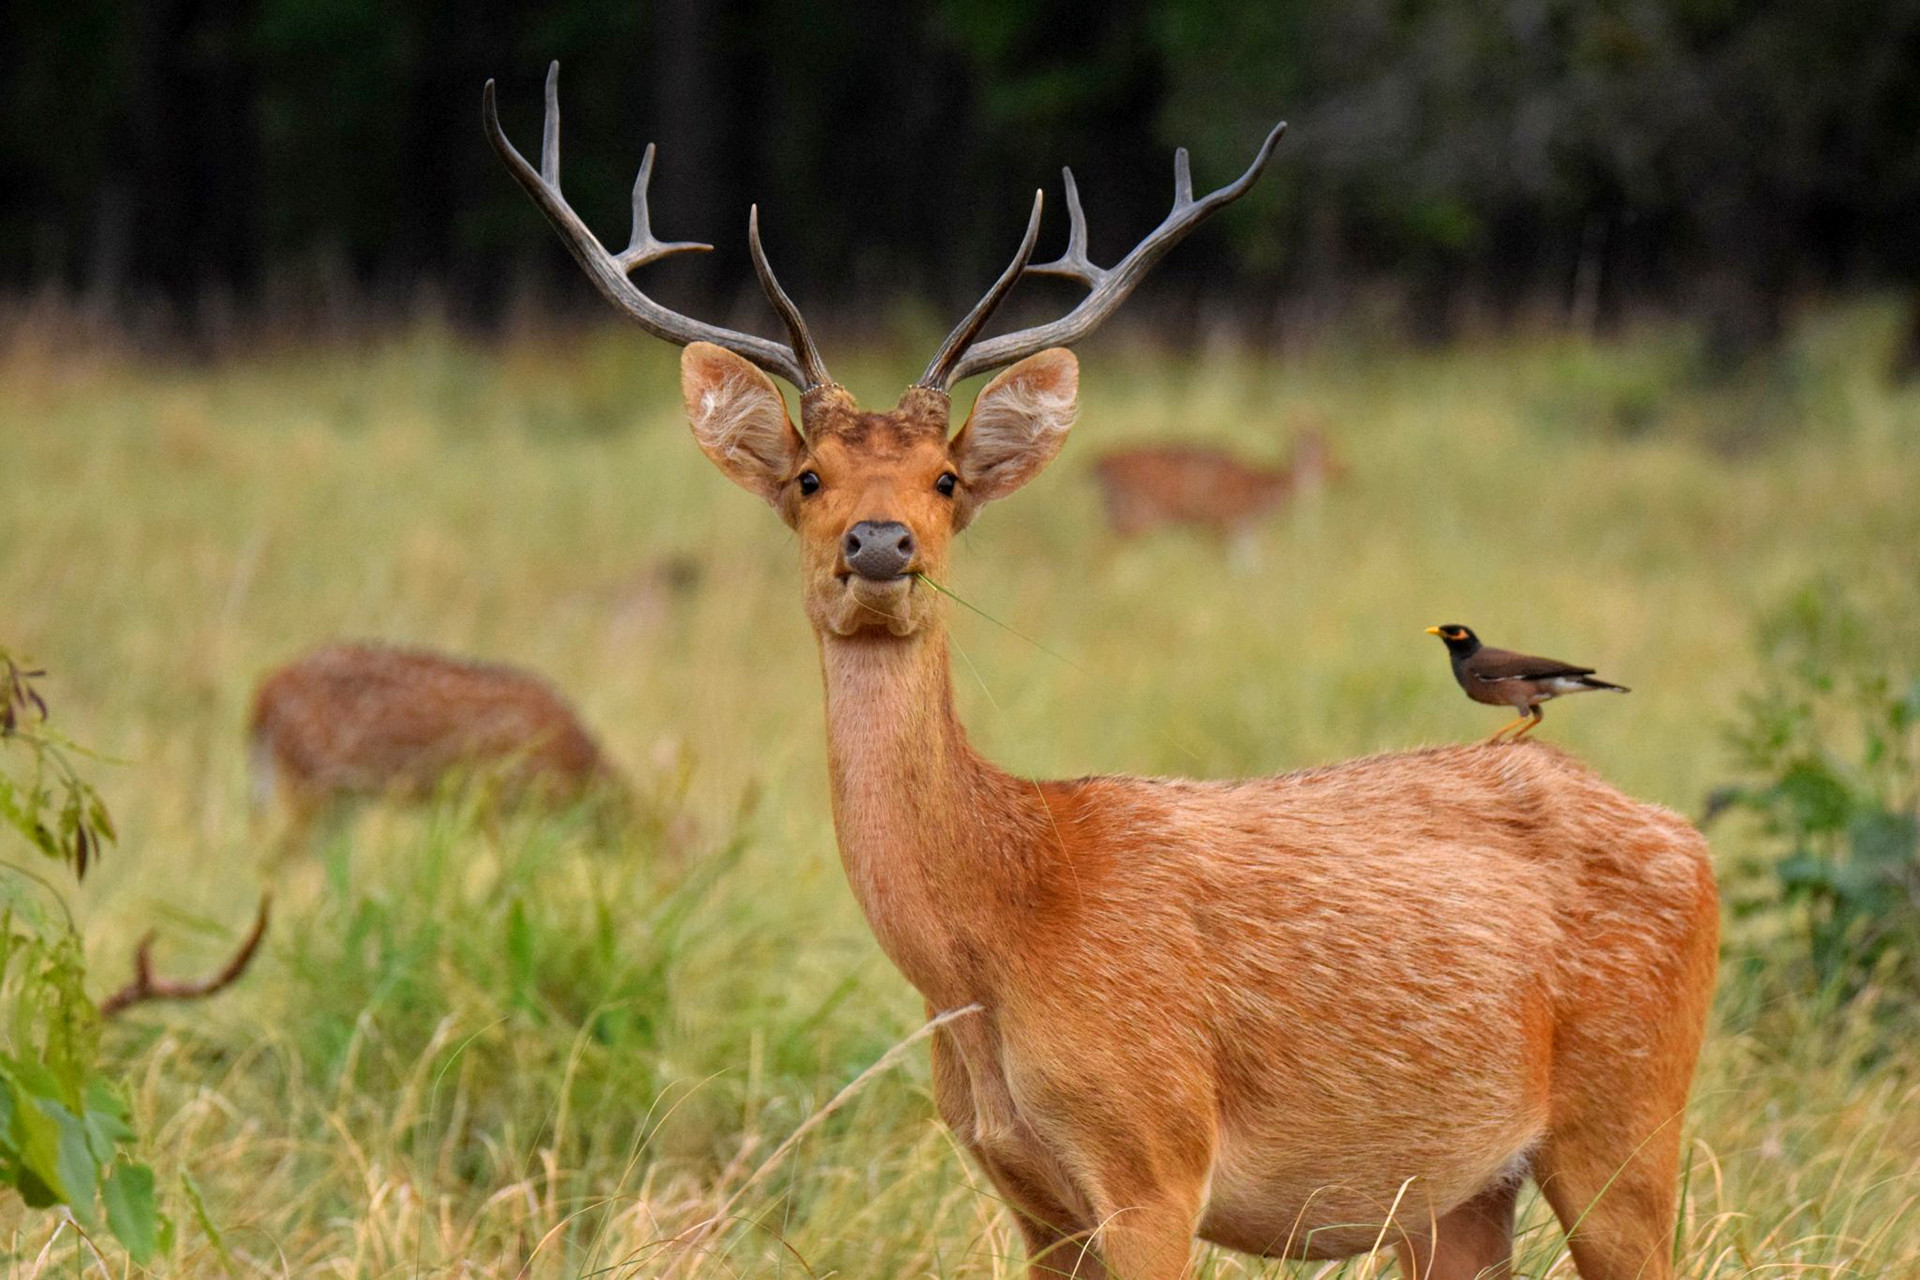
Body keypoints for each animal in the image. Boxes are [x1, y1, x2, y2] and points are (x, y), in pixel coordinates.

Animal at [487, 59, 1720, 1280]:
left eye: (945, 479)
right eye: (806, 475)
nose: (879, 544)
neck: (997, 935)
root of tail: (1690, 840)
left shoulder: (1154, 1156)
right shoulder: (1033, 1197)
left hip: (1628, 1115)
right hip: (1462, 1192)